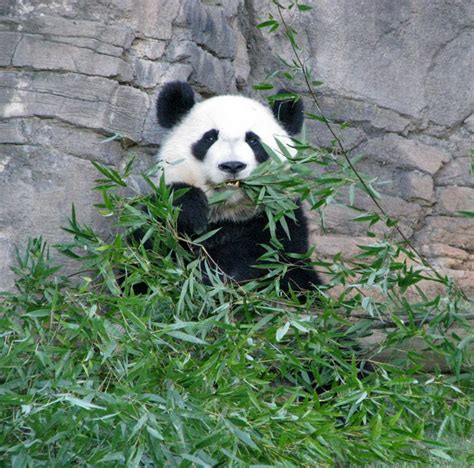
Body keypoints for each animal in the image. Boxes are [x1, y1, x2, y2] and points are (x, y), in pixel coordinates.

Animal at [149, 82, 318, 290]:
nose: (232, 165)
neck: (229, 215)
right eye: (210, 138)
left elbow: (287, 271)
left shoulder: (280, 225)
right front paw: (190, 209)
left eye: (253, 140)